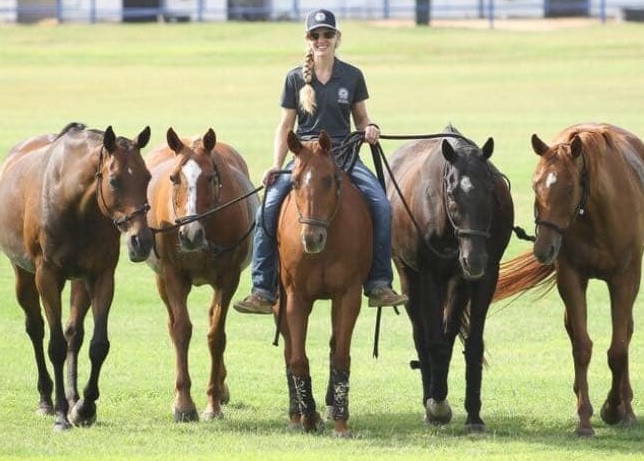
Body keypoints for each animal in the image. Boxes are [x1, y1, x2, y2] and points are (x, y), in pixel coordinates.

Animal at [0, 122, 153, 431]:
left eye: (148, 177)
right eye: (115, 180)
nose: (141, 242)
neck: (72, 203)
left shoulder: (101, 277)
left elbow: (98, 345)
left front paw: (84, 406)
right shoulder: (47, 277)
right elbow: (56, 346)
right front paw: (61, 414)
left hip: (80, 282)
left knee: (74, 333)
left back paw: (72, 399)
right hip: (24, 275)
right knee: (36, 329)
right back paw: (47, 400)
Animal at [145, 127, 259, 422]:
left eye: (210, 177)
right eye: (174, 177)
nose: (190, 233)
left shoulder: (228, 278)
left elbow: (216, 335)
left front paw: (213, 403)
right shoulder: (173, 276)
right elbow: (181, 330)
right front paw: (184, 404)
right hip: (161, 280)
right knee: (173, 324)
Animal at [275, 130, 372, 438]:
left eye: (329, 179)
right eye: (295, 181)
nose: (311, 238)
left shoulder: (348, 296)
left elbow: (340, 355)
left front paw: (340, 423)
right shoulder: (295, 298)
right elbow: (297, 359)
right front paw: (308, 417)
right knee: (288, 352)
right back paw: (296, 415)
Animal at [385, 124, 514, 432]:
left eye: (490, 190)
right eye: (452, 194)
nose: (474, 259)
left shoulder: (482, 276)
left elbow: (471, 342)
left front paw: (474, 414)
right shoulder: (431, 274)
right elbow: (434, 342)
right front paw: (437, 405)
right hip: (409, 275)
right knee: (421, 334)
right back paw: (429, 398)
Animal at [493, 123, 644, 436]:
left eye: (570, 188)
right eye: (535, 184)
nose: (543, 248)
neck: (595, 215)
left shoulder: (623, 280)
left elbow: (618, 348)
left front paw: (614, 408)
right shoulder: (572, 279)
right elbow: (582, 346)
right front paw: (584, 419)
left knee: (626, 332)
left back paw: (627, 406)